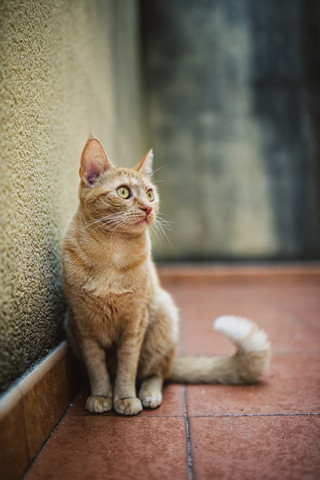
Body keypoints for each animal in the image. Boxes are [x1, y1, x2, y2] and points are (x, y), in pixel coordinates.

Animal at [62, 137, 270, 414]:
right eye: (123, 192)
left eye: (150, 194)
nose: (148, 208)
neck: (111, 254)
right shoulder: (83, 324)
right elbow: (96, 368)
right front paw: (101, 395)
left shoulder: (135, 322)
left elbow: (127, 368)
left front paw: (125, 398)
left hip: (163, 316)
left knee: (157, 374)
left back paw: (149, 394)